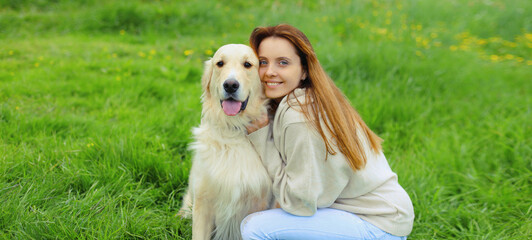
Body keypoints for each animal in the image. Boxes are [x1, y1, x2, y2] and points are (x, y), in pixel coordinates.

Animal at [180, 44, 272, 239]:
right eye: (220, 63)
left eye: (248, 64)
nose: (230, 85)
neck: (233, 130)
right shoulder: (203, 202)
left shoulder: (256, 206)